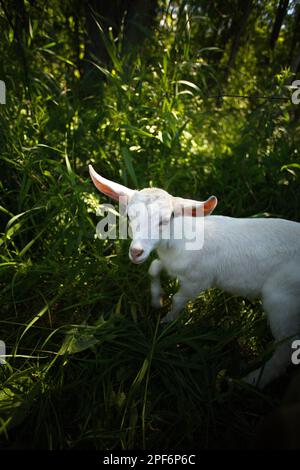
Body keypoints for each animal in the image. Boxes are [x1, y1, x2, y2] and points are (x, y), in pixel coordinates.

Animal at [88, 165, 300, 390]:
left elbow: (178, 299)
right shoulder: (173, 264)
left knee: (285, 348)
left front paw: (167, 321)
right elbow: (154, 268)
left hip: (282, 301)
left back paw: (249, 381)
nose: (136, 252)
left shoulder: (199, 279)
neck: (179, 240)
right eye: (129, 216)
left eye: (165, 220)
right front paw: (156, 300)